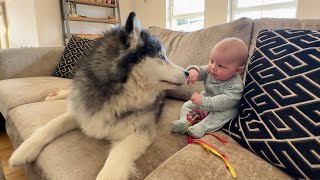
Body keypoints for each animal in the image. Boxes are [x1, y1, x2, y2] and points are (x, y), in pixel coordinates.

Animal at [9, 11, 188, 179]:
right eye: (162, 57)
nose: (187, 72)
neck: (118, 94)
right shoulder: (82, 112)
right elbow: (52, 125)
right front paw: (24, 150)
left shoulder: (142, 132)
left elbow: (118, 154)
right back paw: (55, 95)